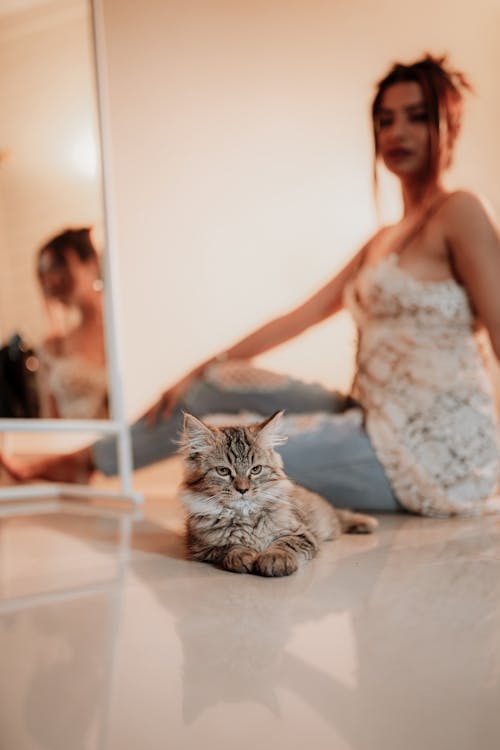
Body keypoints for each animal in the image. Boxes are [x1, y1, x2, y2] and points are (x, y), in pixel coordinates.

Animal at [178, 412, 376, 580]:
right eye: (223, 471)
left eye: (256, 470)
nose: (243, 489)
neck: (245, 517)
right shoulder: (202, 546)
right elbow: (229, 546)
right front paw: (243, 556)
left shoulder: (301, 532)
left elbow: (285, 543)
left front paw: (274, 558)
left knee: (341, 516)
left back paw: (366, 523)